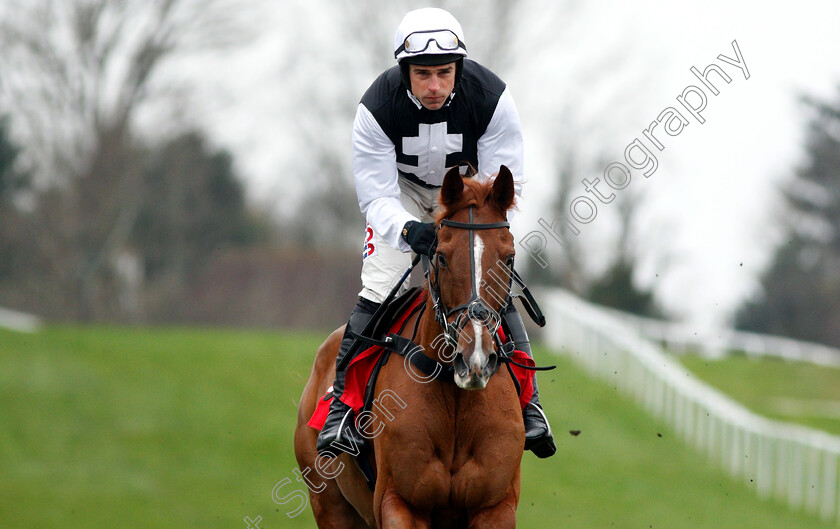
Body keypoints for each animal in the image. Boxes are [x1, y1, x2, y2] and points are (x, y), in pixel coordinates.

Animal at [292, 166, 520, 528]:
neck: (455, 398)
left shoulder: (496, 506)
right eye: (441, 256)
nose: (475, 358)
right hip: (329, 502)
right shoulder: (400, 502)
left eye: (509, 259)